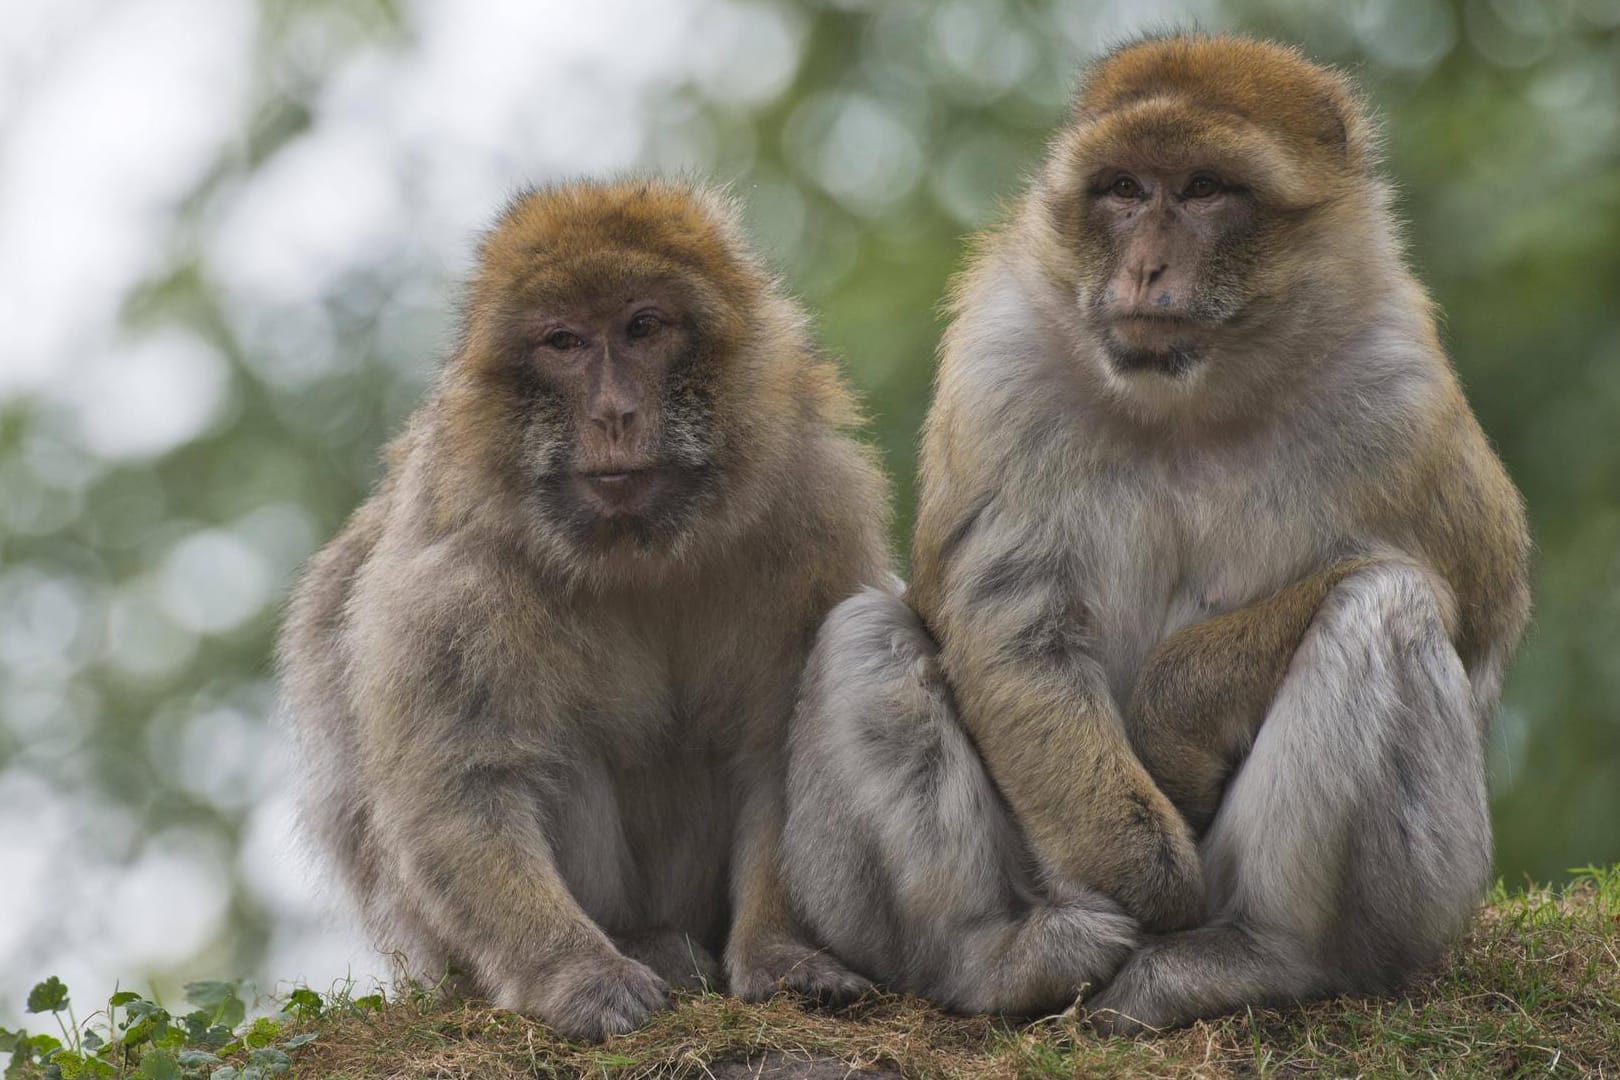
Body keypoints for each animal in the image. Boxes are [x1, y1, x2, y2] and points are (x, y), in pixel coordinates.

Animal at [275, 181, 887, 1042]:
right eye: (563, 341)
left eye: (643, 328)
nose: (614, 413)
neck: (639, 552)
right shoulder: (458, 578)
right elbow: (464, 784)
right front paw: (575, 975)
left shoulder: (817, 516)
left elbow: (780, 744)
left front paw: (783, 952)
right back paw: (644, 945)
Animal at [784, 33, 1529, 1029]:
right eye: (1125, 189)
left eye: (1207, 188)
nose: (1143, 267)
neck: (1190, 403)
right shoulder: (1000, 368)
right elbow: (1011, 630)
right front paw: (1146, 877)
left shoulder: (1401, 395)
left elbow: (1474, 598)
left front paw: (1176, 722)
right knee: (865, 628)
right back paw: (1001, 959)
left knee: (1387, 604)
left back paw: (1249, 958)